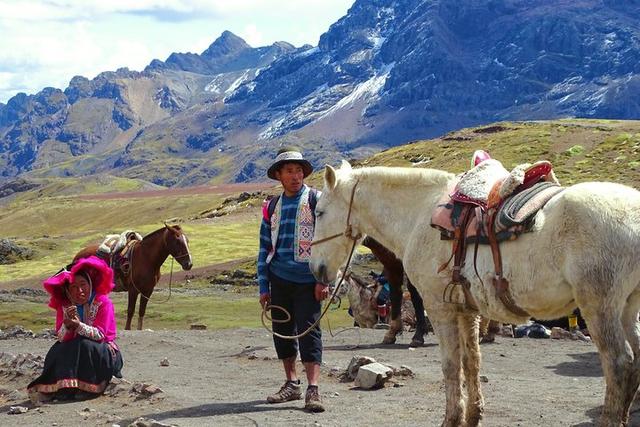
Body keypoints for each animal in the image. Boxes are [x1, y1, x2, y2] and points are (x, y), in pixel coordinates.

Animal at [312, 161, 640, 427]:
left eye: (319, 211)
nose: (316, 269)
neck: (419, 214)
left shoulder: (439, 308)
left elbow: (450, 365)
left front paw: (452, 418)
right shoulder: (466, 310)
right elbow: (472, 361)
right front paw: (473, 416)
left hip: (599, 307)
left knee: (619, 363)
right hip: (628, 307)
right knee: (635, 360)